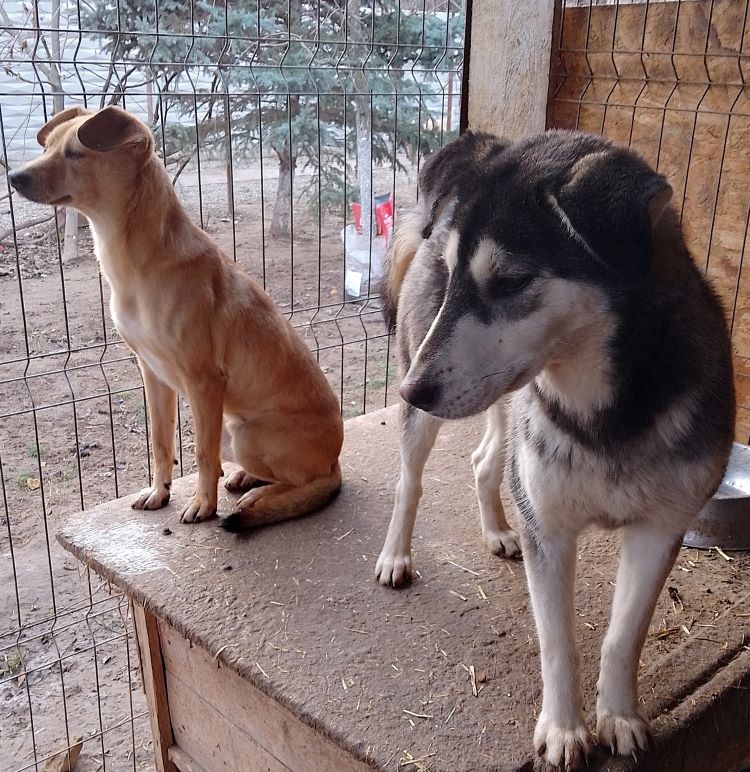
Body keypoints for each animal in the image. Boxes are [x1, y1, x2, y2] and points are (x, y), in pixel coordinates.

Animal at [10, 105, 346, 532]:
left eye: (75, 153)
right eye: (48, 146)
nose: (13, 177)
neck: (139, 265)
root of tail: (335, 458)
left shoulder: (204, 382)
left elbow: (201, 453)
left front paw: (204, 504)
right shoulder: (152, 374)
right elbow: (160, 441)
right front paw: (160, 492)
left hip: (243, 433)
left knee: (304, 480)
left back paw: (258, 496)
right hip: (232, 432)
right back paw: (246, 479)